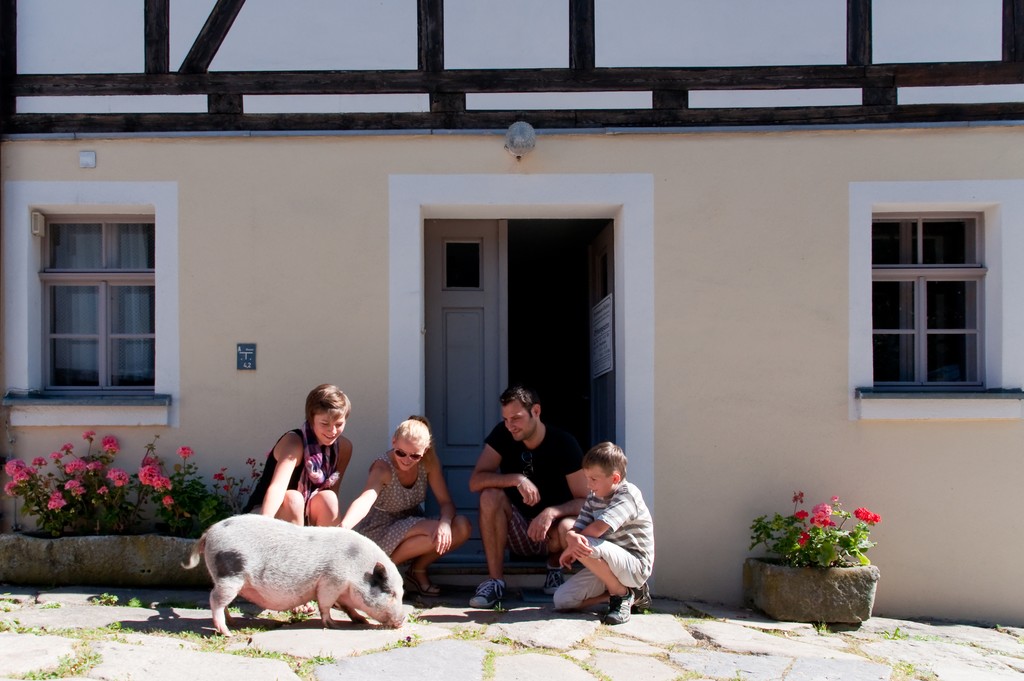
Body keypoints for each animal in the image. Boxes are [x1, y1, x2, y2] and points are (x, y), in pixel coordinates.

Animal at [182, 512, 405, 634]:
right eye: (391, 593)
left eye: (401, 594)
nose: (403, 619)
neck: (356, 567)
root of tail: (210, 532)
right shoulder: (331, 581)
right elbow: (325, 605)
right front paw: (333, 625)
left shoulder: (342, 590)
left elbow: (349, 607)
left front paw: (361, 620)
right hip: (230, 574)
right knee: (215, 599)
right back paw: (227, 632)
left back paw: (233, 622)